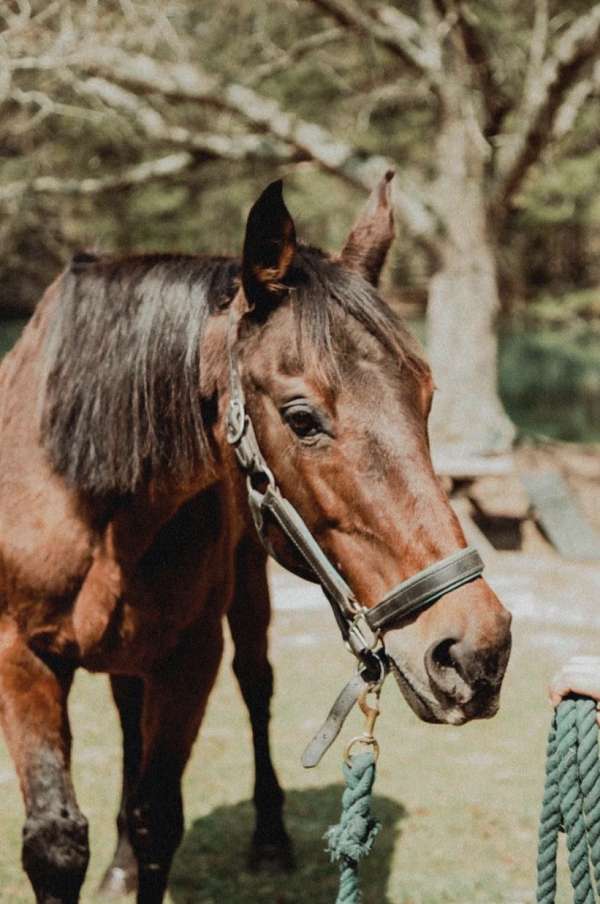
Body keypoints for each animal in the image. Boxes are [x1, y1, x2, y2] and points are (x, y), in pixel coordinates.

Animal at [0, 173, 512, 904]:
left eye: (427, 397)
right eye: (301, 418)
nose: (476, 651)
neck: (89, 491)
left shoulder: (191, 654)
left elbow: (159, 817)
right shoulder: (20, 655)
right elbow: (55, 841)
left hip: (244, 590)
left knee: (256, 685)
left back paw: (269, 838)